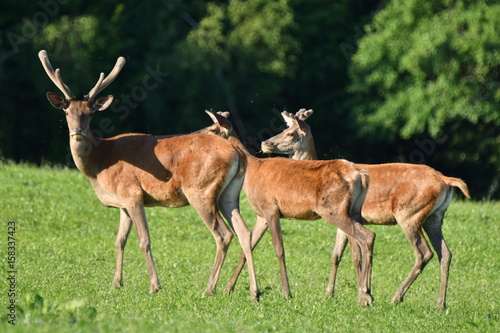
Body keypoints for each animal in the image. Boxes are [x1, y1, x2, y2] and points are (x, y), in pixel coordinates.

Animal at [37, 50, 260, 300]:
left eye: (90, 112)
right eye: (67, 111)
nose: (77, 131)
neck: (100, 164)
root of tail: (239, 153)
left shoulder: (132, 193)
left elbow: (144, 240)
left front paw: (154, 285)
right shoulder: (122, 204)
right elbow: (119, 241)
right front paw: (116, 283)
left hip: (200, 190)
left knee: (223, 235)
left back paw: (209, 288)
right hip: (228, 195)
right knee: (244, 232)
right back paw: (253, 291)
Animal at [203, 110, 376, 304]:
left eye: (212, 129)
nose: (265, 143)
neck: (252, 172)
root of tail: (361, 175)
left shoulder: (270, 208)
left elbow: (279, 250)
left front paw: (286, 292)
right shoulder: (261, 215)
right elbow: (249, 245)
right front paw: (229, 289)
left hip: (334, 210)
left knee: (366, 237)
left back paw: (365, 294)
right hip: (354, 211)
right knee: (358, 246)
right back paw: (365, 294)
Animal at [262, 107, 472, 308]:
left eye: (289, 133)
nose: (265, 143)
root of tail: (445, 180)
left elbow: (355, 256)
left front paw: (361, 294)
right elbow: (336, 255)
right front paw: (330, 294)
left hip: (409, 214)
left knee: (424, 252)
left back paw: (397, 297)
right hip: (434, 217)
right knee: (445, 253)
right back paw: (440, 303)